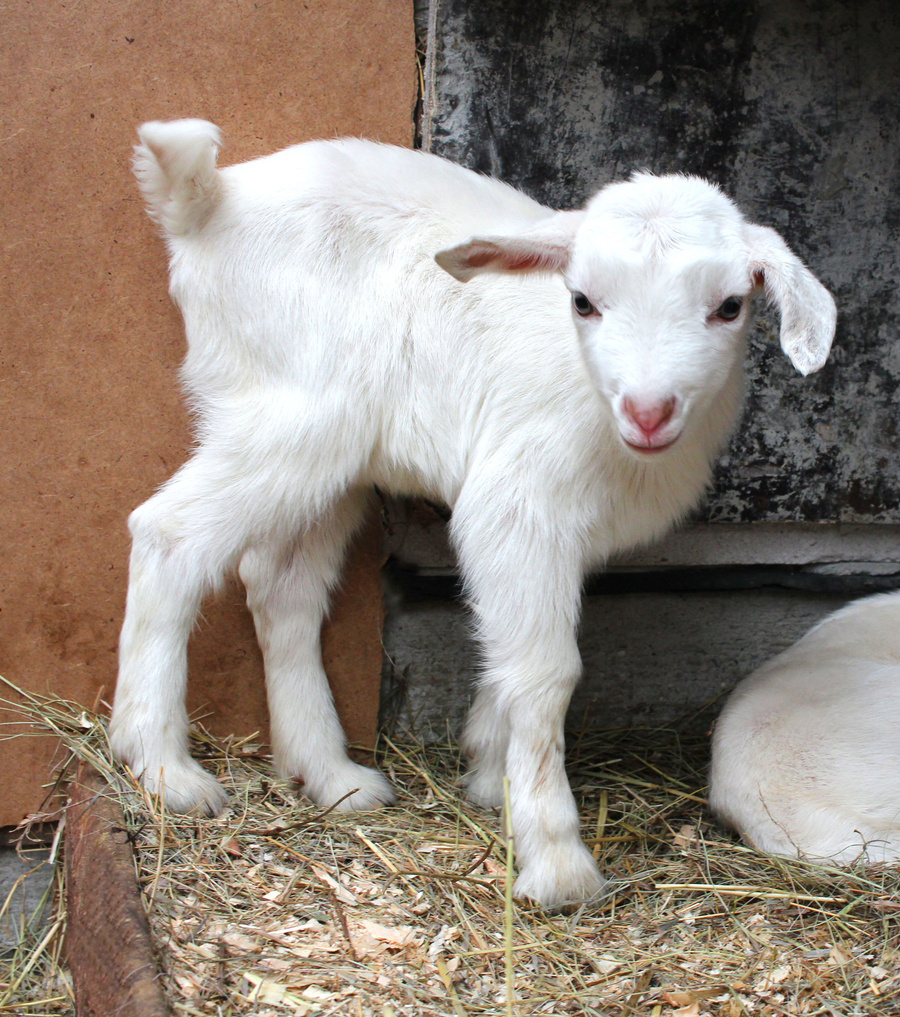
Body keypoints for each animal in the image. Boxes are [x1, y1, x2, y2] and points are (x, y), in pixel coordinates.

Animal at [110, 119, 836, 906]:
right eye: (582, 301)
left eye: (729, 305)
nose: (648, 411)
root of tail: (210, 200)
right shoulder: (515, 501)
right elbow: (547, 671)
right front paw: (555, 859)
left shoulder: (548, 532)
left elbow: (505, 650)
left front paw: (493, 774)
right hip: (289, 414)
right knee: (168, 535)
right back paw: (163, 768)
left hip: (328, 455)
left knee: (281, 587)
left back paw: (331, 776)